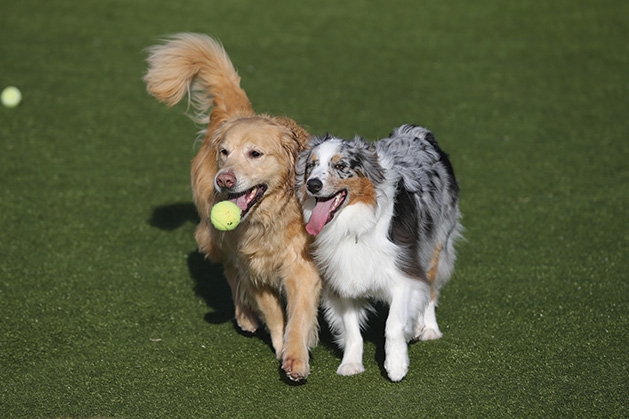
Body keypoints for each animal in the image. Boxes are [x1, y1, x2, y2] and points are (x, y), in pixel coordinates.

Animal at [145, 33, 322, 380]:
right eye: (225, 152)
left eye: (255, 153)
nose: (223, 180)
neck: (270, 218)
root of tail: (233, 112)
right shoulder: (254, 269)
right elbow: (274, 313)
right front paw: (280, 345)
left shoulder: (301, 266)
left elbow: (298, 315)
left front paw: (295, 357)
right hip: (215, 236)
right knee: (230, 270)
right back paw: (244, 315)